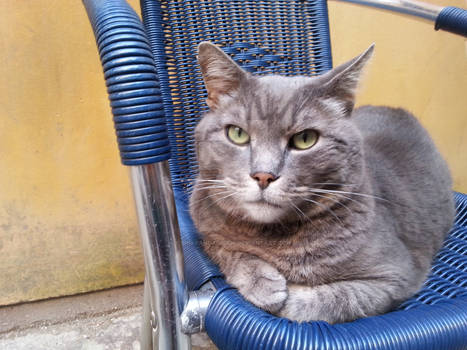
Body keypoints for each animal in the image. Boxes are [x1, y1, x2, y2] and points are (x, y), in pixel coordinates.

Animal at [188, 42, 456, 324]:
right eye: (237, 134)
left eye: (305, 139)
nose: (263, 175)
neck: (273, 240)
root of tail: (400, 112)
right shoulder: (203, 231)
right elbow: (222, 247)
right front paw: (262, 282)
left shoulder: (395, 275)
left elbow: (328, 301)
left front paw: (284, 295)